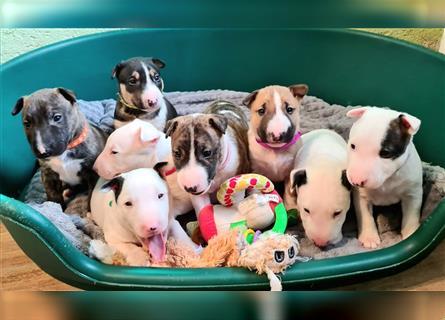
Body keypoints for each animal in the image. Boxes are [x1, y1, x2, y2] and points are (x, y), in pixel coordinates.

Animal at [346, 106, 422, 249]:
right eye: (353, 146)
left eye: (385, 153)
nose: (356, 181)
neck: (387, 180)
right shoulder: (361, 196)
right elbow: (365, 215)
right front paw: (369, 238)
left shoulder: (413, 193)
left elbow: (411, 215)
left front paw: (411, 234)